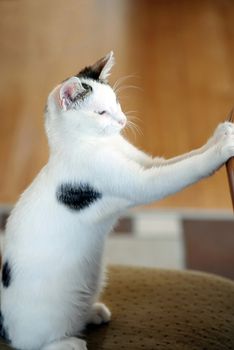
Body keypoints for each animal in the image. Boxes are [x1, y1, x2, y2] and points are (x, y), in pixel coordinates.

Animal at [1, 50, 234, 348]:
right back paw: (69, 342)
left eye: (117, 102)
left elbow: (183, 158)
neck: (96, 144)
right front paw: (223, 148)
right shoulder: (141, 182)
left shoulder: (147, 163)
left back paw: (92, 312)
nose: (123, 121)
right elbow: (184, 169)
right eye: (101, 112)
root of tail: (5, 325)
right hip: (43, 320)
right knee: (32, 344)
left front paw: (219, 135)